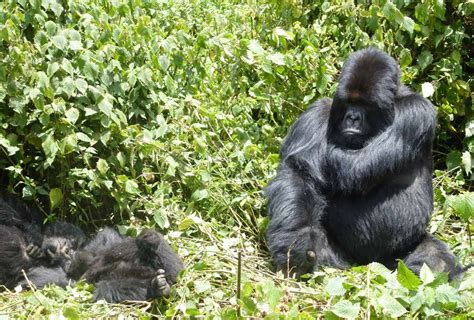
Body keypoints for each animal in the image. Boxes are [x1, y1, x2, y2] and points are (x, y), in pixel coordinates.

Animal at [264, 48, 464, 280]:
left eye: (366, 105)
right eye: (349, 103)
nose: (352, 118)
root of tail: (371, 262)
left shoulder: (417, 110)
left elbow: (355, 167)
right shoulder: (316, 112)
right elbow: (298, 173)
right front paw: (297, 242)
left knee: (436, 266)